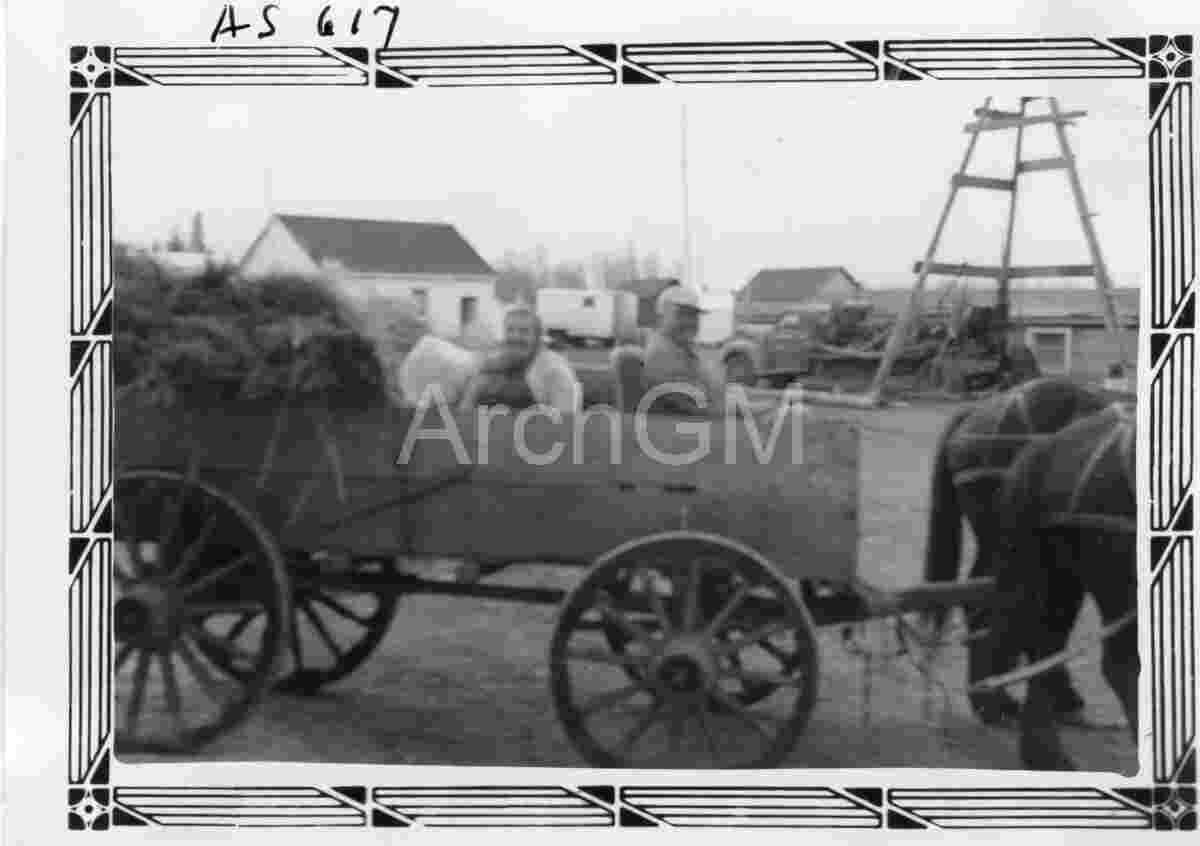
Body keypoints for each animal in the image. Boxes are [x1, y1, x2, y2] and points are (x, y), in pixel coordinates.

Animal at [986, 404, 1137, 770]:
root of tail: (1047, 448)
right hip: (1114, 570)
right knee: (1119, 662)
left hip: (1061, 567)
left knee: (1044, 638)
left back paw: (1042, 751)